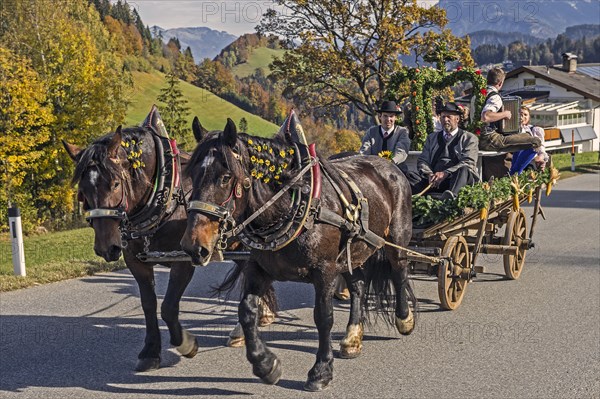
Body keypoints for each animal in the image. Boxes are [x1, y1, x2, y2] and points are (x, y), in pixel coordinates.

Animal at [182, 117, 418, 392]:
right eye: (192, 174)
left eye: (225, 177)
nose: (194, 246)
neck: (292, 204)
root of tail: (388, 164)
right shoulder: (258, 267)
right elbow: (247, 310)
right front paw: (265, 364)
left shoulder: (325, 270)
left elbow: (323, 317)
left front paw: (321, 371)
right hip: (352, 250)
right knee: (358, 285)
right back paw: (352, 338)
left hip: (396, 239)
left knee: (399, 271)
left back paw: (404, 319)